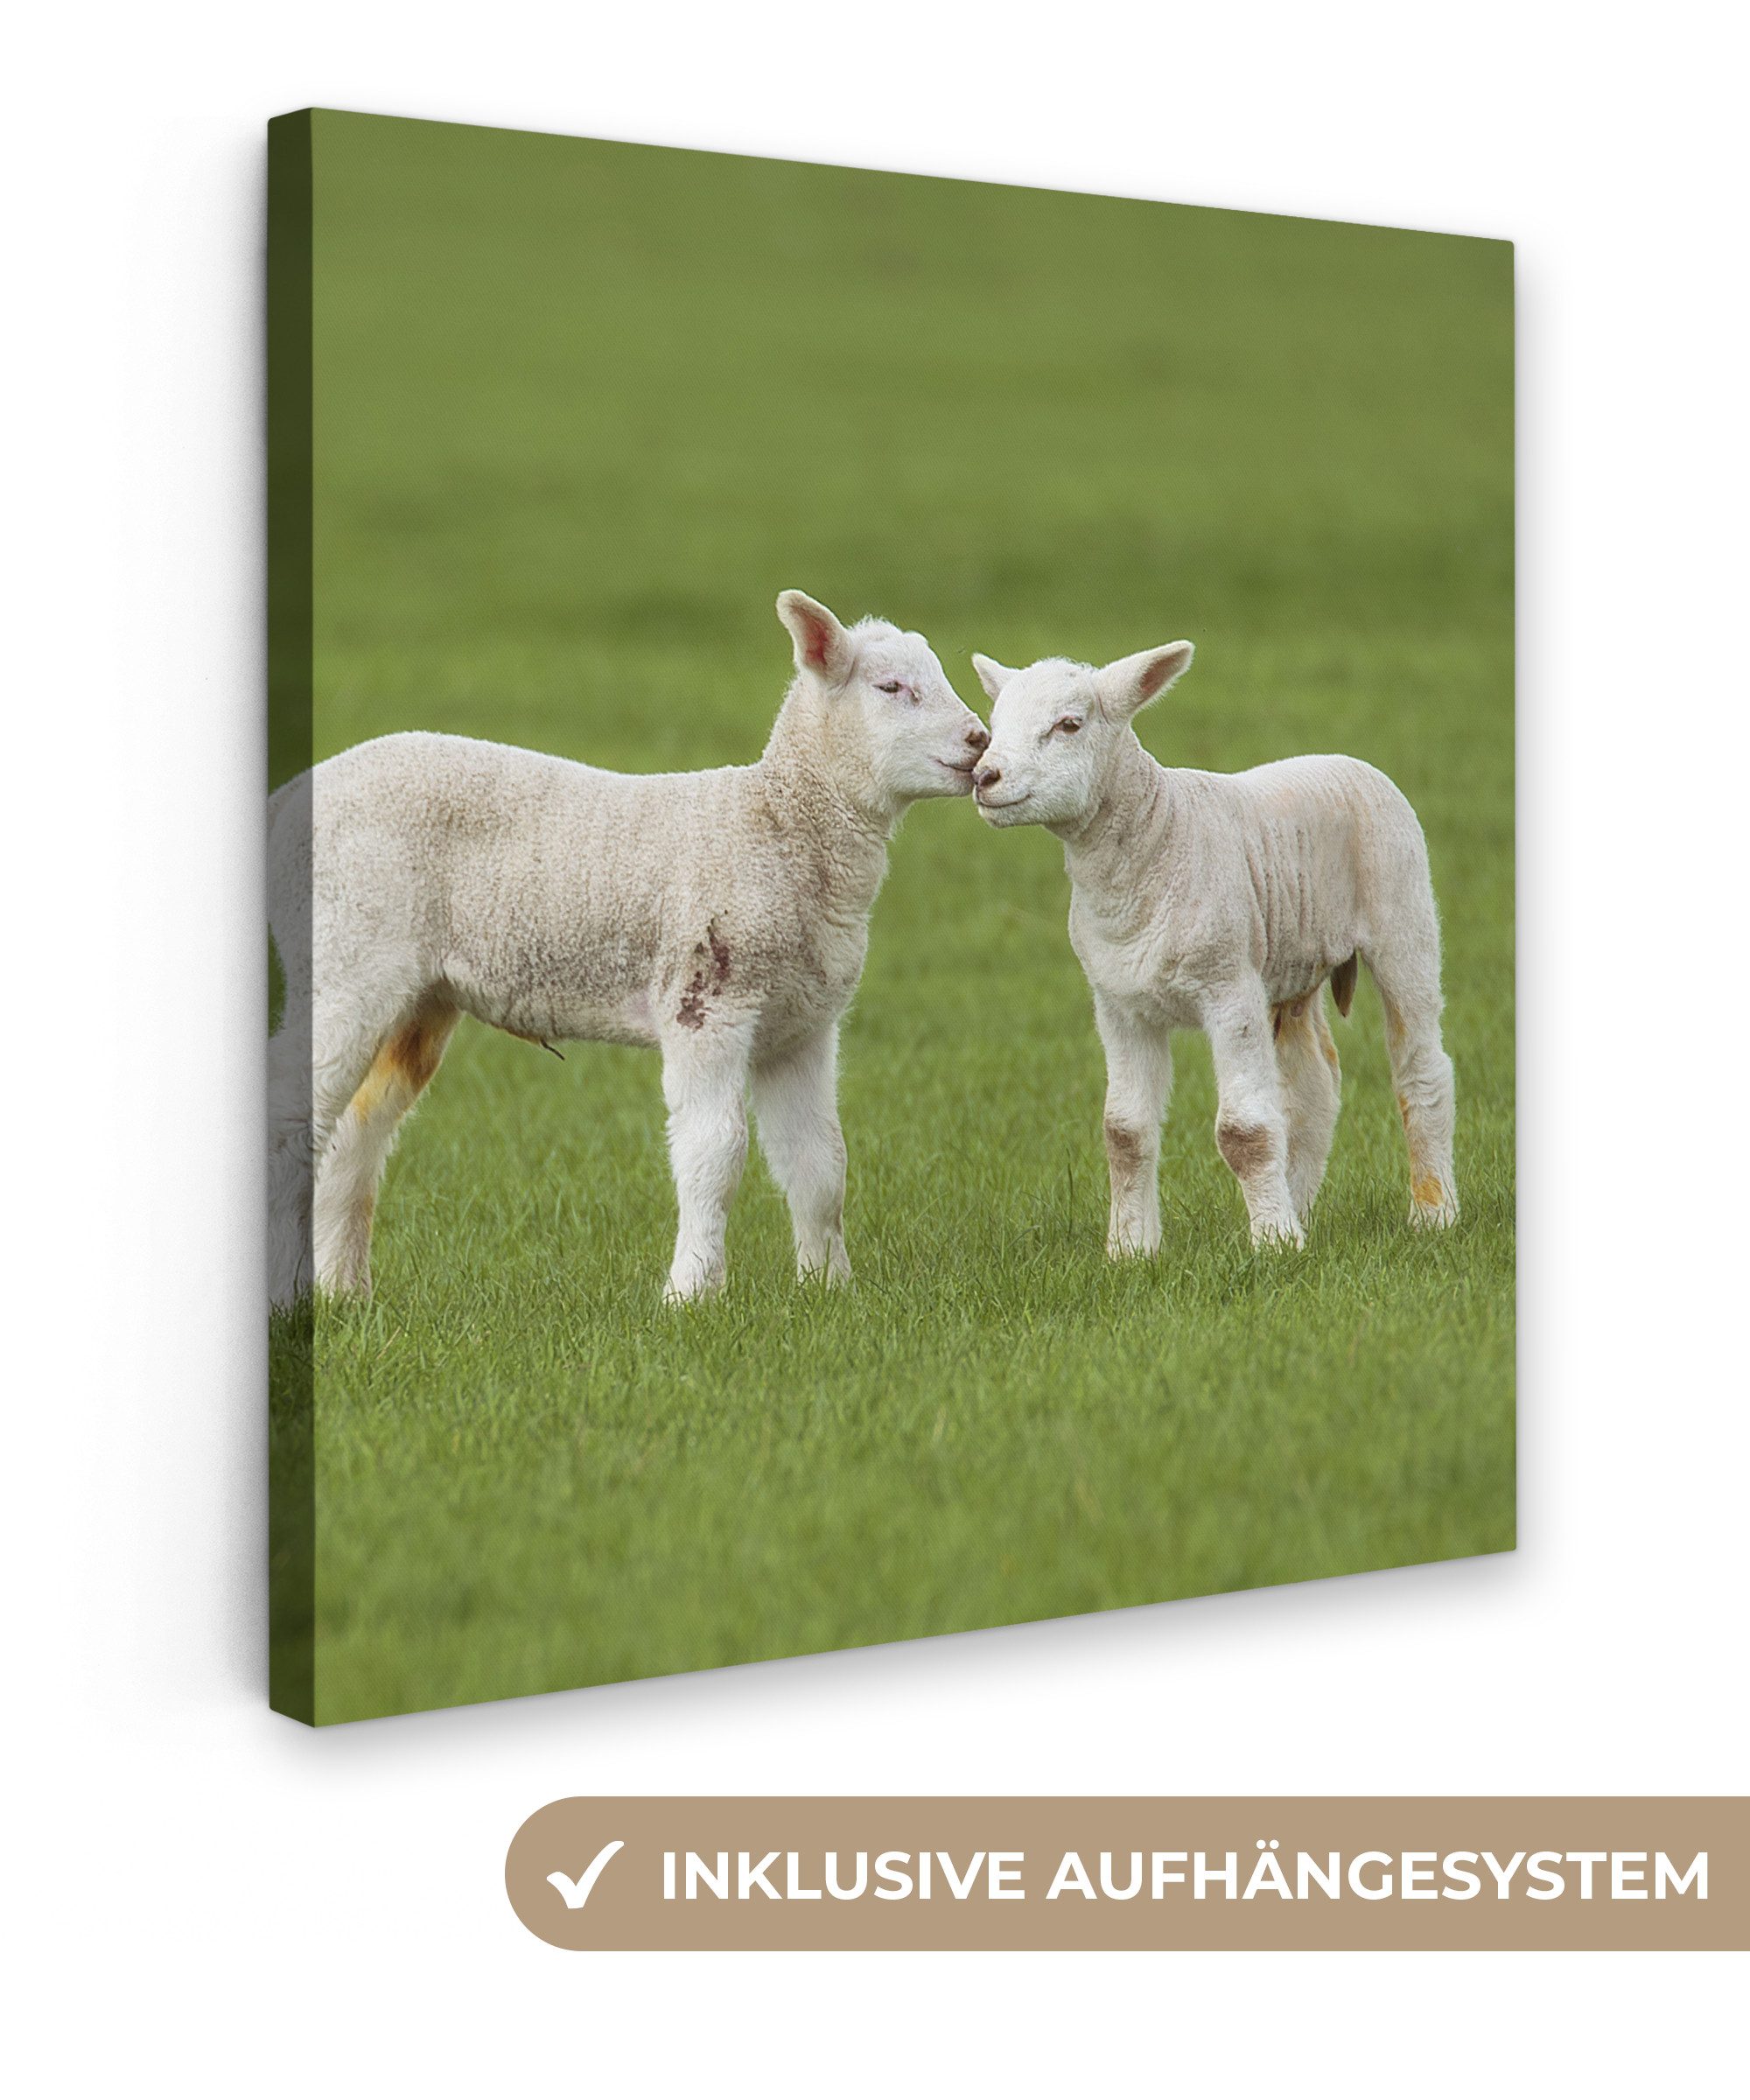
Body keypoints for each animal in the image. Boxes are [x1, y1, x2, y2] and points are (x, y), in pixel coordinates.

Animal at [267, 592, 991, 1306]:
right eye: (891, 687)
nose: (980, 740)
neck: (778, 825)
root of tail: (285, 803)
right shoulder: (706, 999)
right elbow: (714, 1153)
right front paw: (692, 1293)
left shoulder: (802, 1026)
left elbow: (819, 1162)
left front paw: (829, 1290)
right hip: (345, 956)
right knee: (291, 1118)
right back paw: (287, 1295)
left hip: (416, 992)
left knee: (356, 1135)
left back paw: (343, 1291)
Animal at [969, 641, 1458, 1251]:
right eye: (993, 726)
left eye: (1069, 725)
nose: (984, 776)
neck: (1156, 838)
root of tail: (1346, 760)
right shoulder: (1118, 1003)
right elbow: (1124, 1133)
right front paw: (1131, 1250)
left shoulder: (1229, 988)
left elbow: (1244, 1131)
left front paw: (1273, 1243)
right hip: (1290, 966)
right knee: (1312, 1089)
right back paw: (1299, 1206)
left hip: (1402, 910)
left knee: (1421, 1067)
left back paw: (1433, 1213)